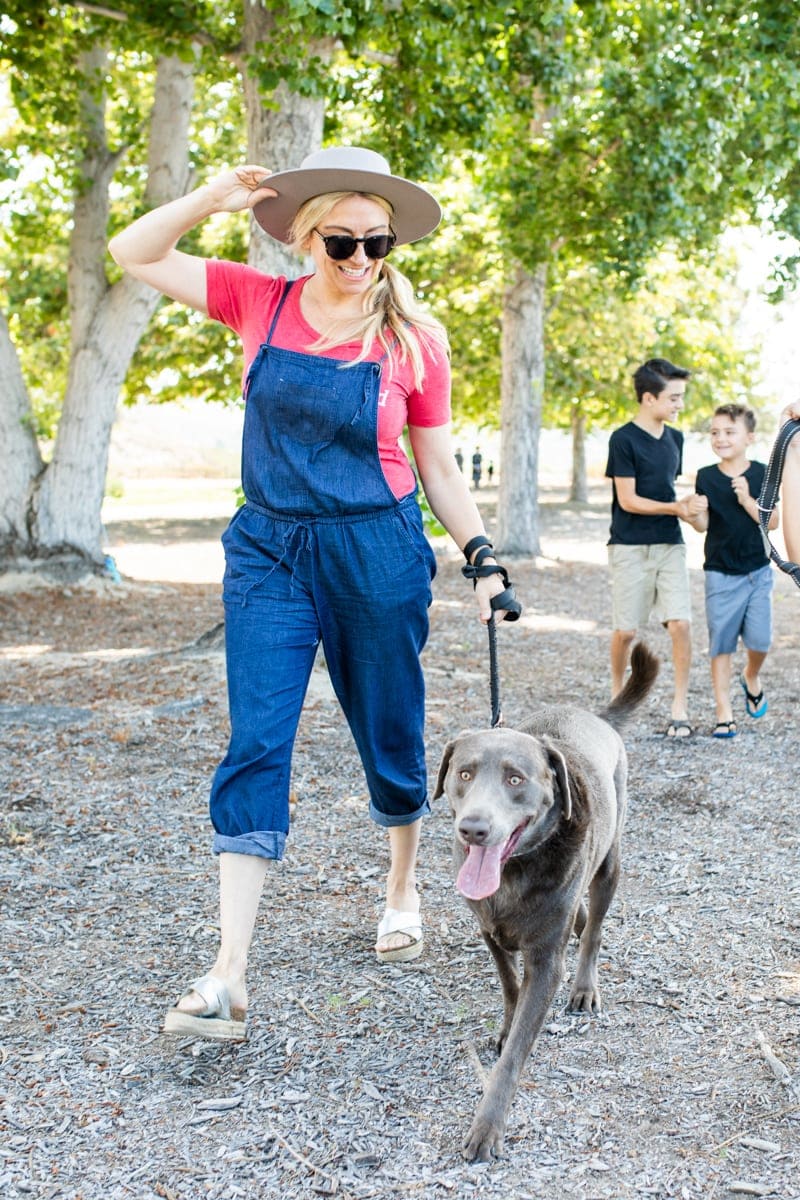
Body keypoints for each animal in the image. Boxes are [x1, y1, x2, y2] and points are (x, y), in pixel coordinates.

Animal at [434, 648, 662, 1161]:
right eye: (464, 774)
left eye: (515, 778)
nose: (473, 828)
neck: (514, 872)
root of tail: (592, 716)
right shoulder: (489, 932)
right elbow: (510, 988)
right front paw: (507, 1024)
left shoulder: (546, 961)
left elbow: (516, 1049)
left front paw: (489, 1125)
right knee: (581, 921)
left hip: (609, 863)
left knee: (593, 930)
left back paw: (585, 985)